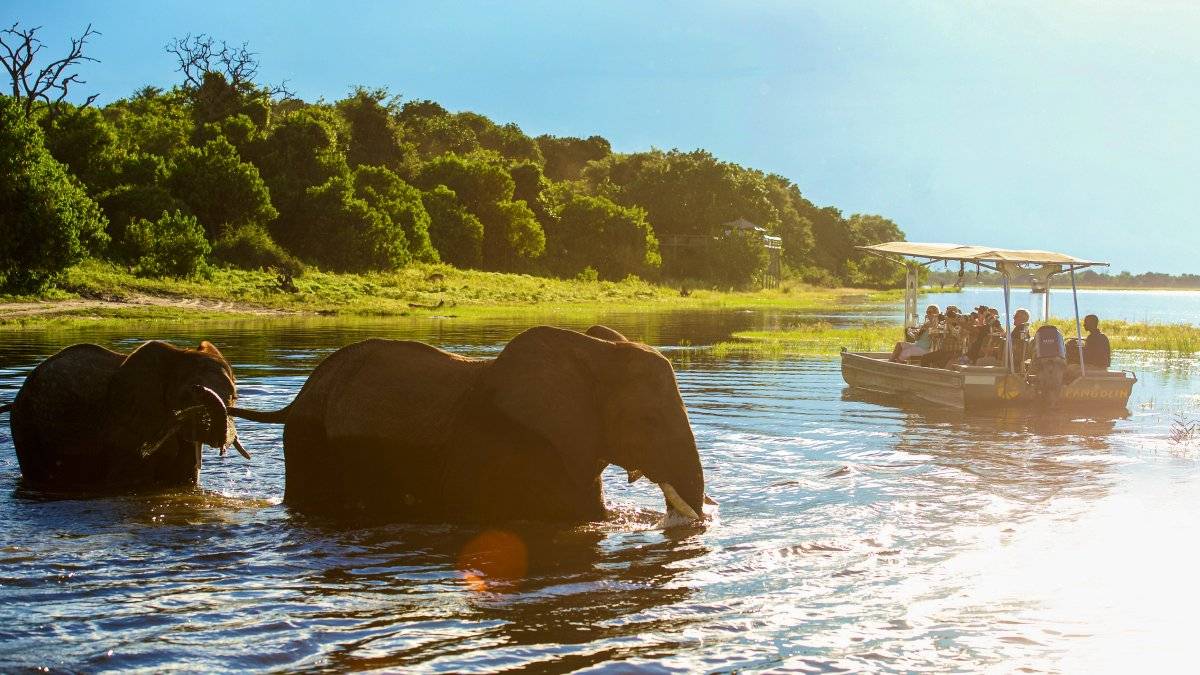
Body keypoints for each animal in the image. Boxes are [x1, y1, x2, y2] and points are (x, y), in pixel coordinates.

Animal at [0, 338, 248, 492]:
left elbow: (183, 479)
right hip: (26, 427)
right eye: (187, 395)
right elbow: (131, 479)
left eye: (233, 396)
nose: (200, 389)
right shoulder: (127, 417)